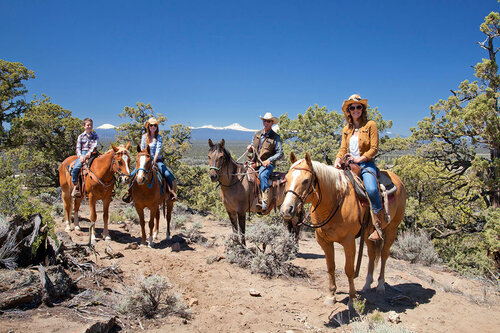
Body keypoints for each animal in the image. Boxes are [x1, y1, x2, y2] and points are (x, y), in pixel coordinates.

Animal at [282, 152, 406, 308]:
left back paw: (380, 286)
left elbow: (349, 270)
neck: (334, 201)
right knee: (372, 254)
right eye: (286, 179)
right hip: (368, 233)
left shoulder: (349, 241)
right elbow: (330, 267)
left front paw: (352, 299)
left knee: (384, 255)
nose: (287, 210)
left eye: (306, 180)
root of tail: (397, 179)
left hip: (392, 229)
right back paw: (367, 284)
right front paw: (331, 295)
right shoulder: (324, 241)